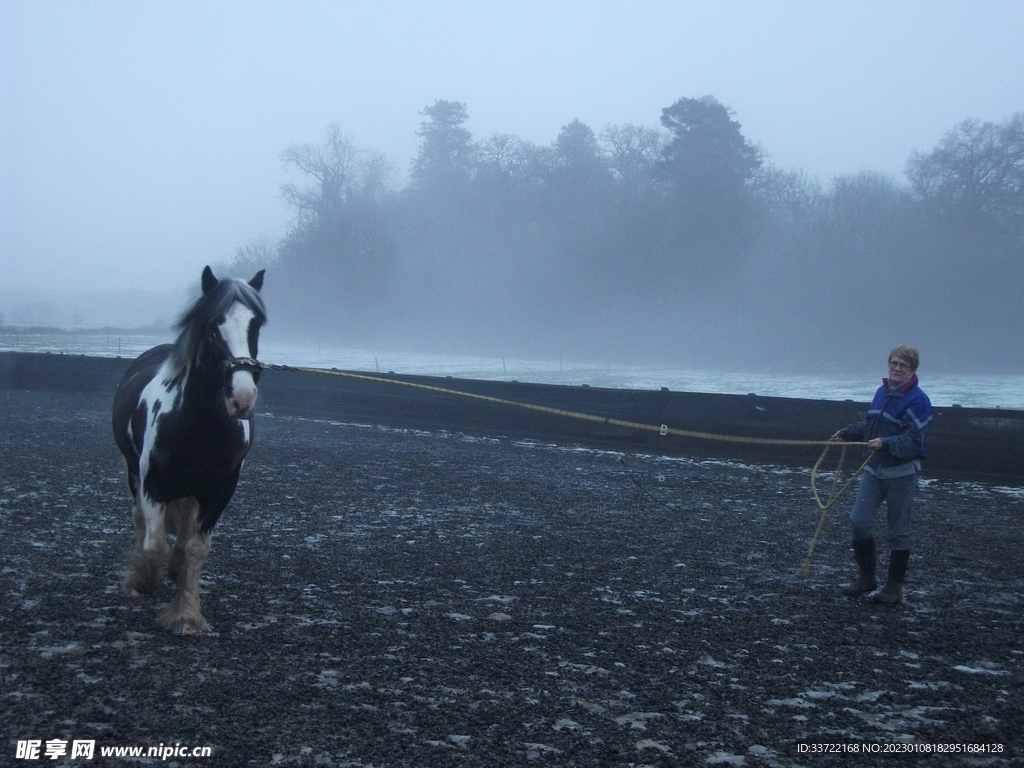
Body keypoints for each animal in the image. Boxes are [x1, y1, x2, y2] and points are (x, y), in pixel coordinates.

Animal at [112, 266, 267, 634]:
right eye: (212, 325)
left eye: (256, 324)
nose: (242, 397)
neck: (198, 425)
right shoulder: (152, 485)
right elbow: (155, 545)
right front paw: (144, 579)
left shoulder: (219, 490)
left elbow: (196, 547)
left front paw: (186, 613)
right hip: (133, 474)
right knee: (139, 519)